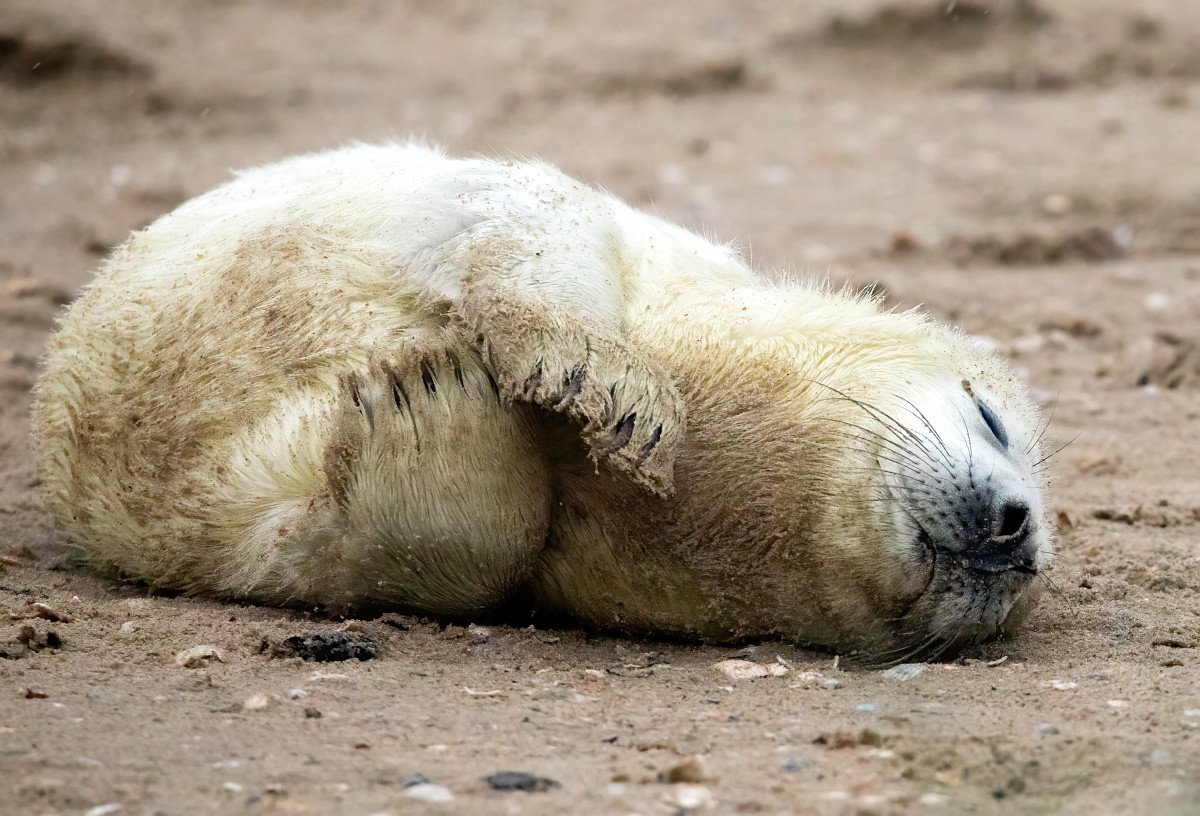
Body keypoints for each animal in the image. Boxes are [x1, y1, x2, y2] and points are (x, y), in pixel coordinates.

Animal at [33, 143, 1052, 663]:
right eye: (992, 418)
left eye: (1028, 593)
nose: (1018, 532)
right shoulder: (631, 246)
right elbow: (529, 218)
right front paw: (599, 379)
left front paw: (428, 415)